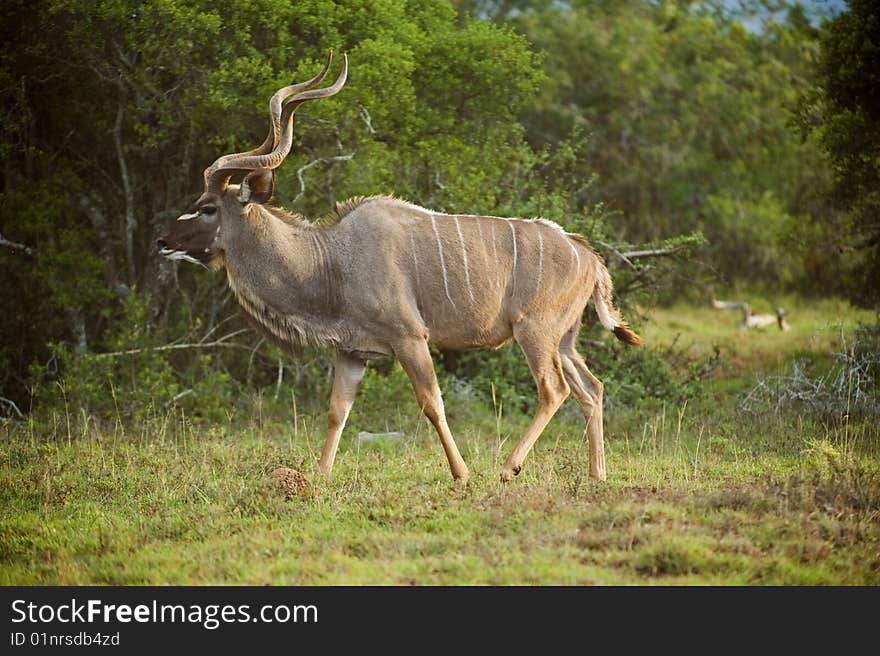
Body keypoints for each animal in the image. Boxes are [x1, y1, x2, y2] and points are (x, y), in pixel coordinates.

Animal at [158, 53, 640, 484]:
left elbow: (431, 402)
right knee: (591, 389)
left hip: (534, 332)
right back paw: (596, 474)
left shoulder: (410, 337)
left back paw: (508, 468)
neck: (331, 259)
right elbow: (337, 411)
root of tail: (588, 256)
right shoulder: (351, 352)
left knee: (554, 389)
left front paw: (462, 474)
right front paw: (319, 476)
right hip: (565, 339)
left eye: (207, 207)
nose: (162, 241)